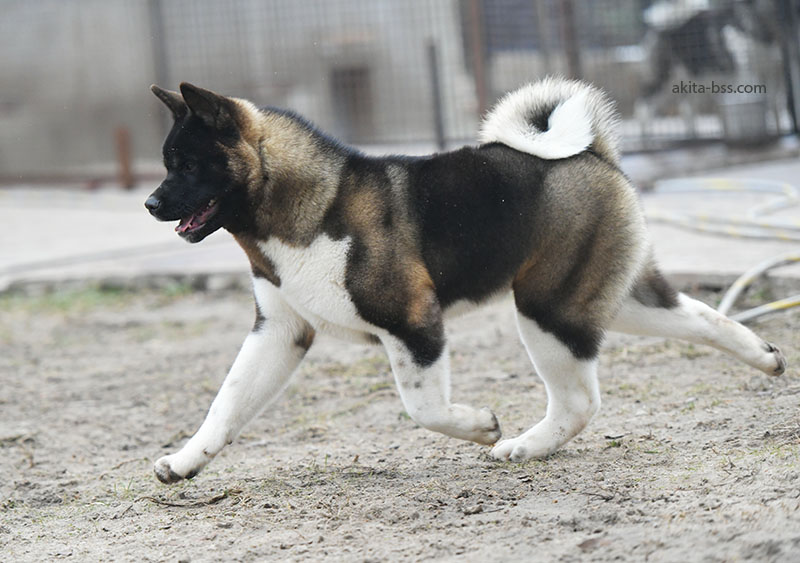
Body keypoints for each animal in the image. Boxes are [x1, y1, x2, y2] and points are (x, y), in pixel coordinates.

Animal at [146, 78, 786, 483]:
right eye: (168, 162)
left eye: (188, 164)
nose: (151, 203)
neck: (307, 206)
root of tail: (592, 153)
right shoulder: (280, 332)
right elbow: (227, 404)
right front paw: (186, 461)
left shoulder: (412, 324)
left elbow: (423, 407)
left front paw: (480, 426)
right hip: (601, 297)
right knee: (699, 318)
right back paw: (766, 357)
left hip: (548, 310)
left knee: (579, 400)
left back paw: (524, 445)